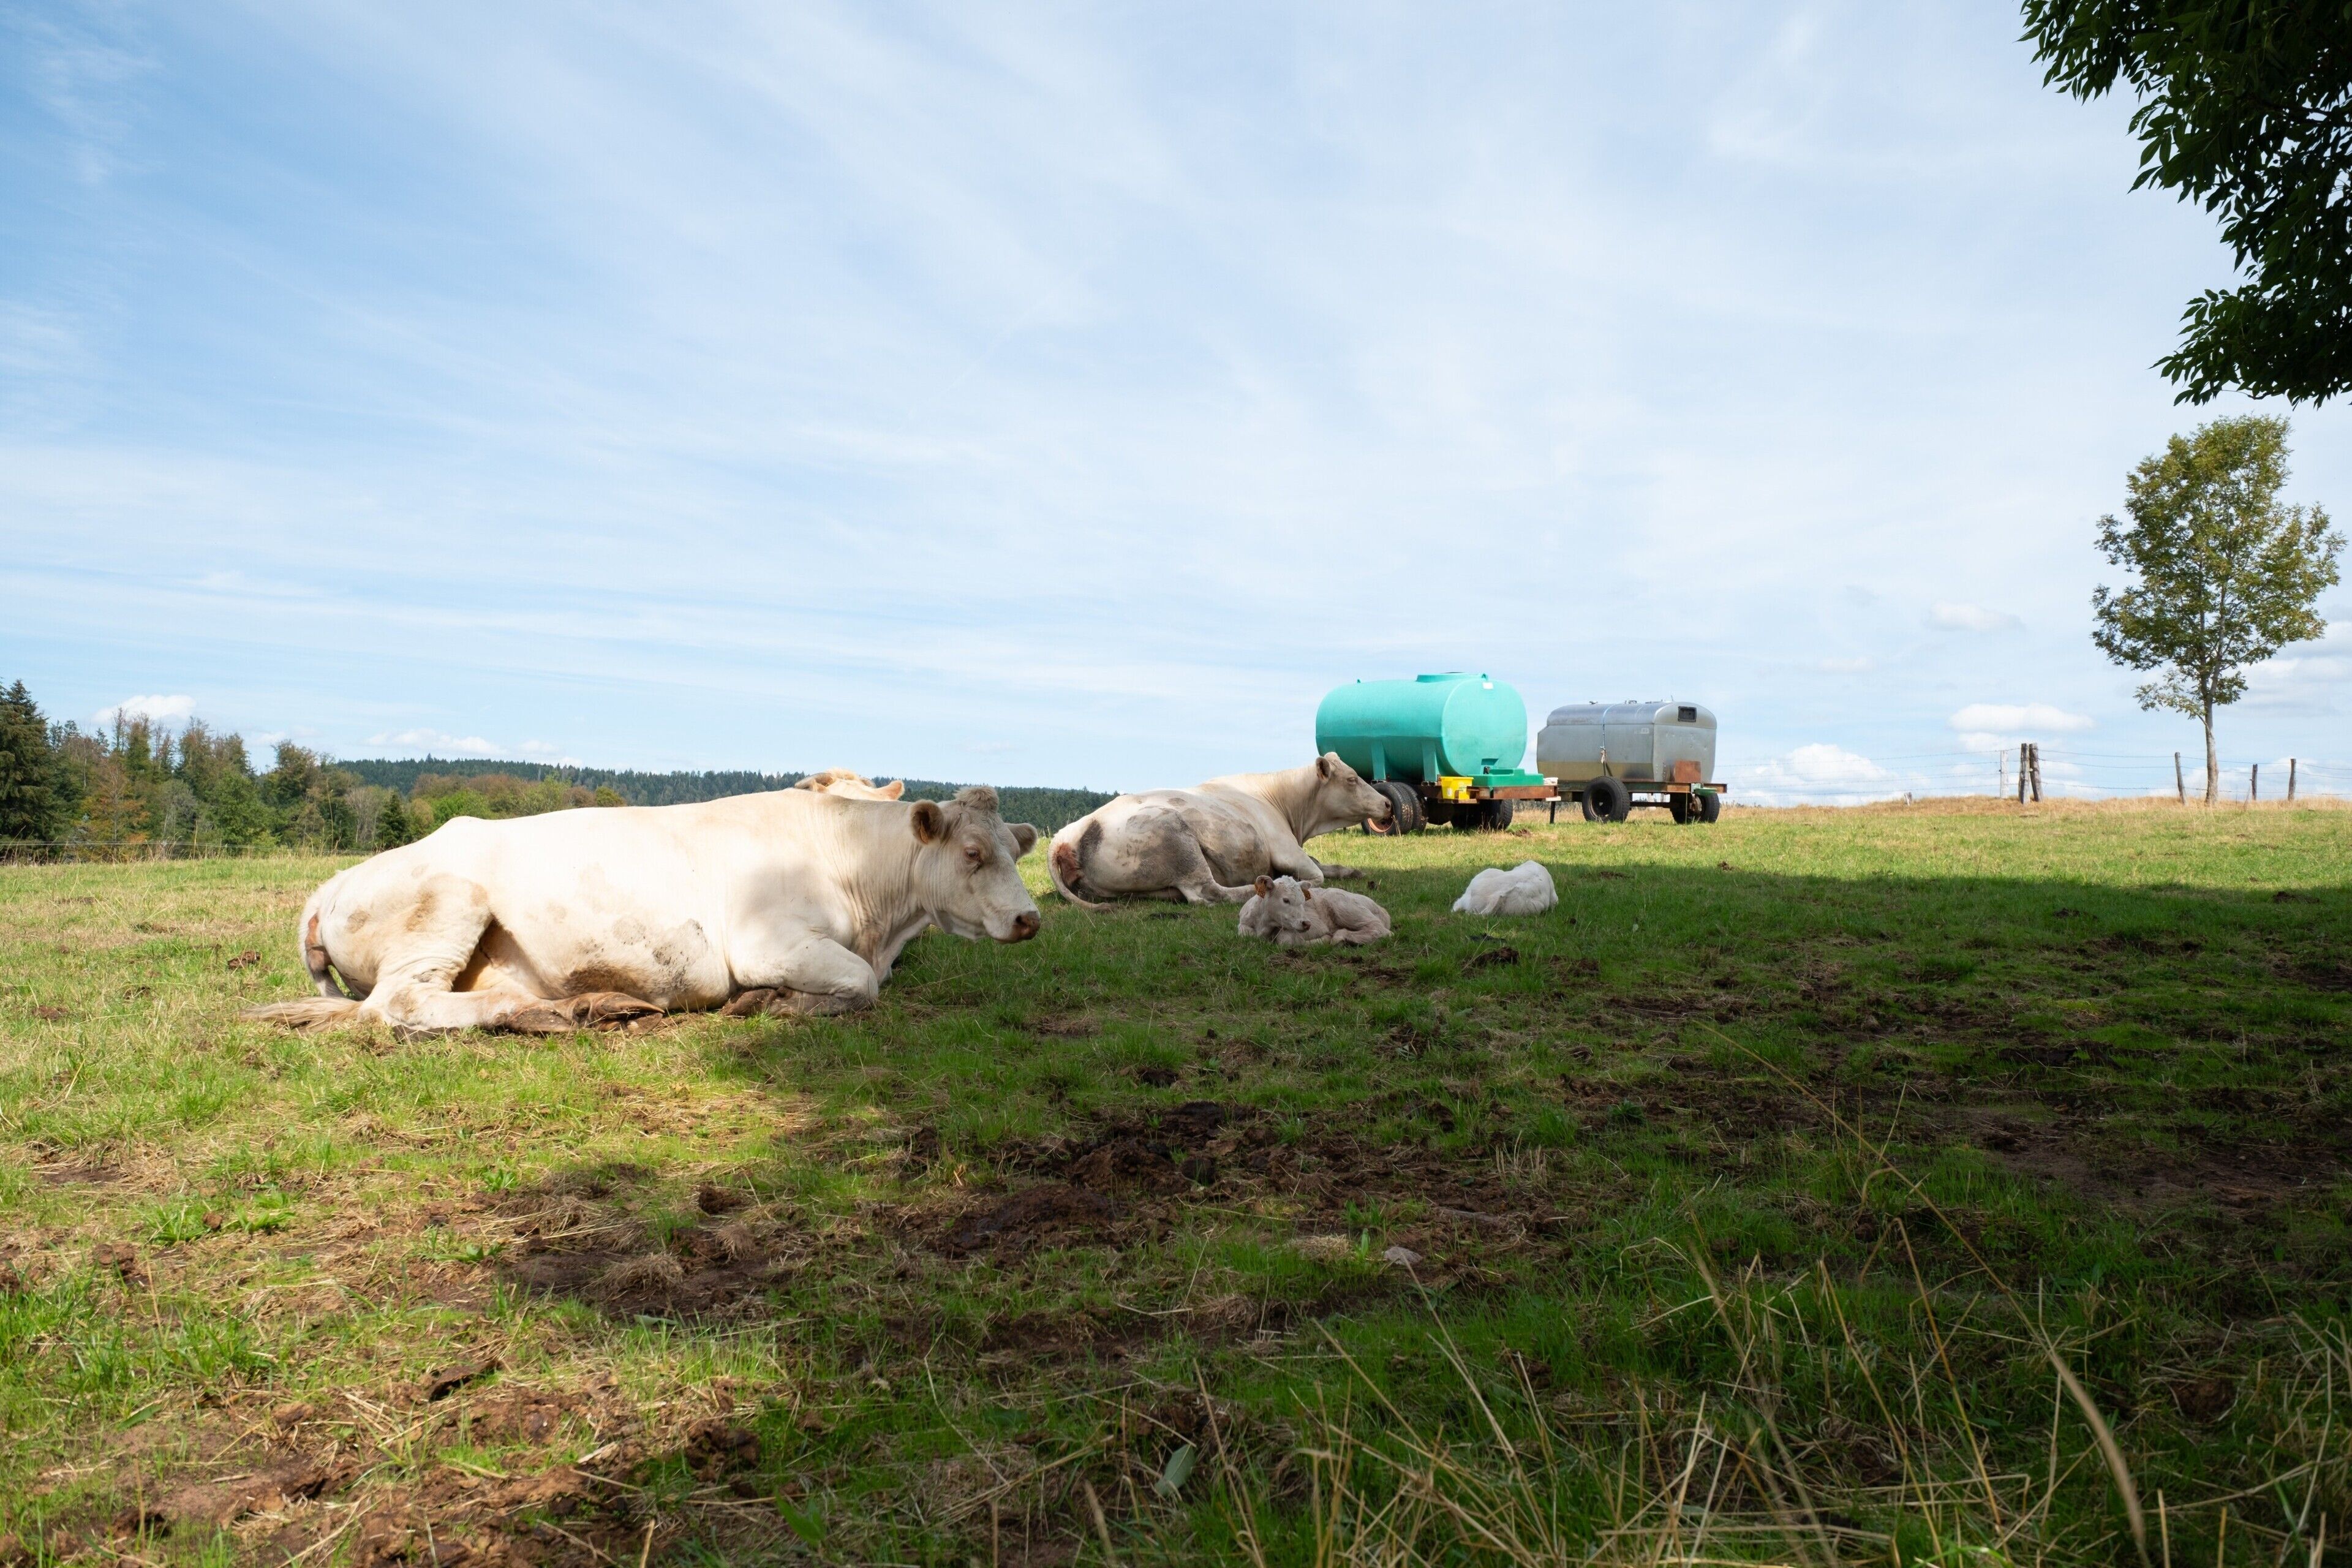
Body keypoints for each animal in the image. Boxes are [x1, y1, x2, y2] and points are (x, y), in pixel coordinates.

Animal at [243, 787, 1040, 1033]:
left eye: (1014, 847)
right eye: (973, 853)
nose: (1031, 920)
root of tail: (333, 881)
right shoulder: (767, 942)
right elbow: (861, 985)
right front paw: (773, 1003)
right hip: (447, 903)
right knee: (400, 1004)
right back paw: (528, 1012)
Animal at [1047, 754, 1390, 908]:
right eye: (1352, 779)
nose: (1387, 803)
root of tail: (1069, 833)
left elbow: (1327, 866)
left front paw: (1351, 870)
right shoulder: (1286, 849)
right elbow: (1317, 874)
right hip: (1175, 835)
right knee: (1207, 893)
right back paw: (1264, 886)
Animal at [1238, 875, 1392, 947]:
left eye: (1303, 900)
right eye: (1286, 900)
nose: (1307, 923)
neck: (1264, 925)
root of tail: (1382, 909)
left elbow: (1286, 940)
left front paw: (1325, 939)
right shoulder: (1243, 924)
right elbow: (1246, 934)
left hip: (1341, 903)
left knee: (1380, 930)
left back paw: (1340, 937)